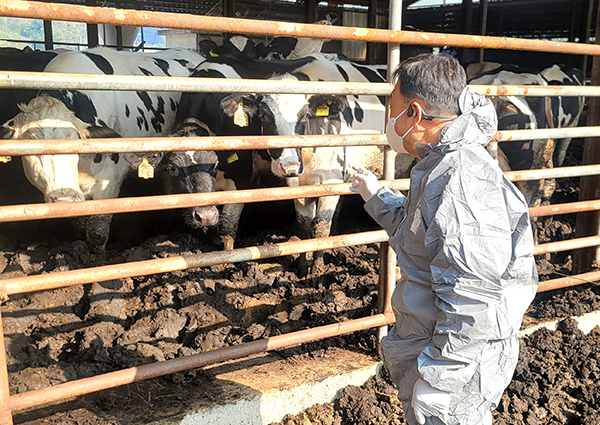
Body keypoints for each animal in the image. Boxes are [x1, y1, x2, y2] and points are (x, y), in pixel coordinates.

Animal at [2, 47, 205, 252]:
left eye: (76, 143)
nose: (63, 199)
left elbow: (97, 231)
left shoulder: (109, 182)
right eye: (30, 150)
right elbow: (80, 223)